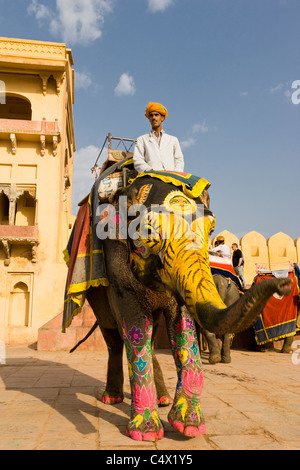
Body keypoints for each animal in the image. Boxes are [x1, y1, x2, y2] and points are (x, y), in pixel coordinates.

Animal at [63, 173, 290, 440]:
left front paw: (189, 426)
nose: (284, 284)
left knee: (151, 337)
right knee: (112, 334)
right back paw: (112, 399)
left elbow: (182, 324)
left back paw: (162, 399)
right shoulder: (116, 258)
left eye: (211, 230)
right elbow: (135, 325)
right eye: (149, 231)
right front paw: (146, 433)